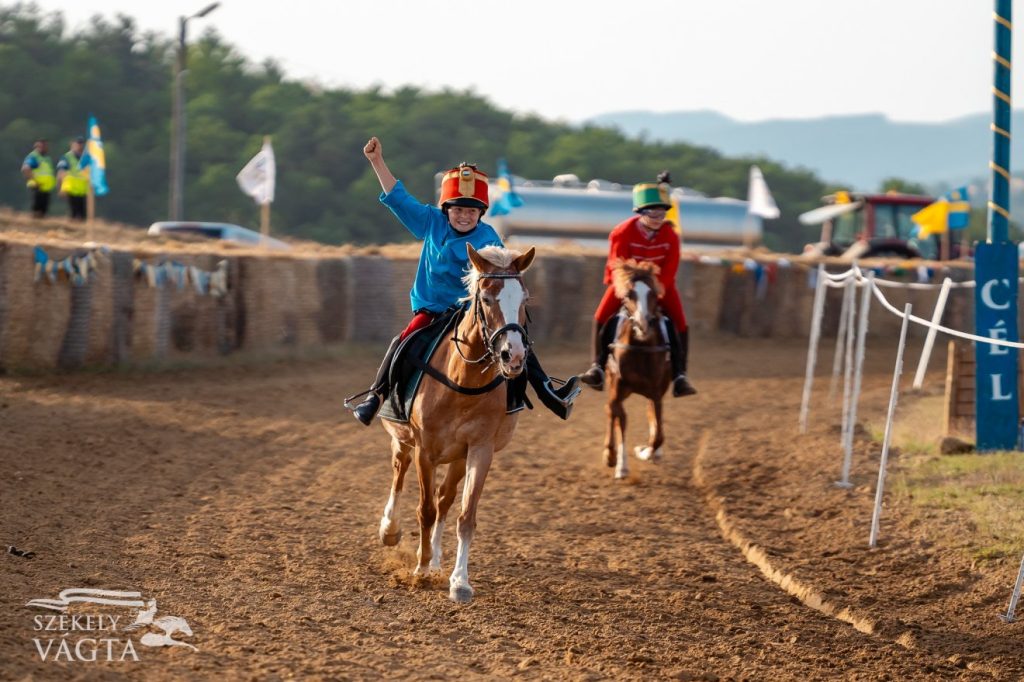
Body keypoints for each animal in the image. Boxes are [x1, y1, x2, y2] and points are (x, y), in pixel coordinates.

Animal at [378, 242, 536, 602]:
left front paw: (459, 580)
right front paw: (421, 570)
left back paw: (437, 558)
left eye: (524, 299)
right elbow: (424, 509)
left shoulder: (479, 449)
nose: (514, 356)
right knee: (399, 472)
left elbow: (464, 516)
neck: (461, 383)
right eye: (487, 299)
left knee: (445, 498)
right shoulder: (425, 450)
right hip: (403, 439)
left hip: (457, 457)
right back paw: (390, 530)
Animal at [602, 259, 675, 477]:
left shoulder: (657, 393)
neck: (640, 349)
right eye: (629, 294)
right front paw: (621, 465)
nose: (643, 324)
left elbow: (658, 433)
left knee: (651, 417)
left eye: (654, 294)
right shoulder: (617, 390)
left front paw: (646, 452)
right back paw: (610, 454)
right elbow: (621, 420)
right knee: (611, 412)